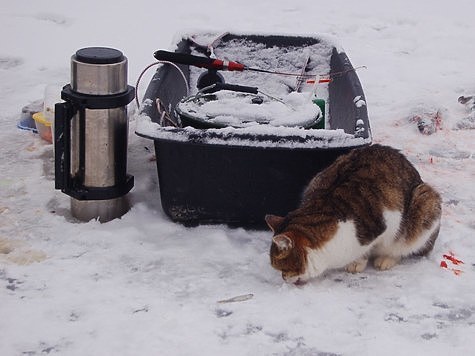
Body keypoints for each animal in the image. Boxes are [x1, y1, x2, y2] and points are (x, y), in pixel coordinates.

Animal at [268, 143, 442, 286]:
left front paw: (359, 261)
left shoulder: (388, 223)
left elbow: (372, 246)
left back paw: (387, 259)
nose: (284, 278)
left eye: (283, 268)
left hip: (425, 202)